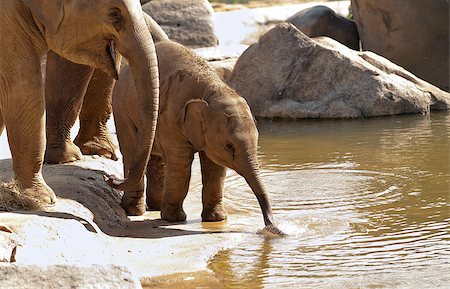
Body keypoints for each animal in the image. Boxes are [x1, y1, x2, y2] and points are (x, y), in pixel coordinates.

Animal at [112, 40, 282, 233]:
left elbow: (215, 167)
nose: (273, 227)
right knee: (131, 149)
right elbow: (181, 164)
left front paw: (216, 219)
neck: (211, 89)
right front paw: (174, 219)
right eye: (229, 146)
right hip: (121, 108)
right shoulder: (171, 117)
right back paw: (134, 210)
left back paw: (155, 206)